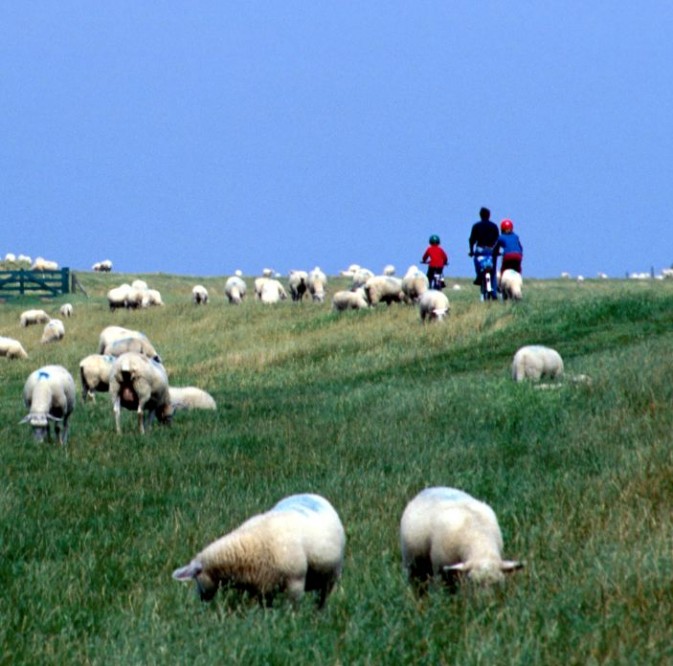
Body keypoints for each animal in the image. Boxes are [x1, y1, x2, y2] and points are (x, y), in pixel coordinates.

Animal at [172, 490, 346, 604]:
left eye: (196, 577)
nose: (202, 600)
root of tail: (312, 494)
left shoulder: (295, 583)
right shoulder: (259, 589)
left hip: (332, 576)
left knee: (323, 599)